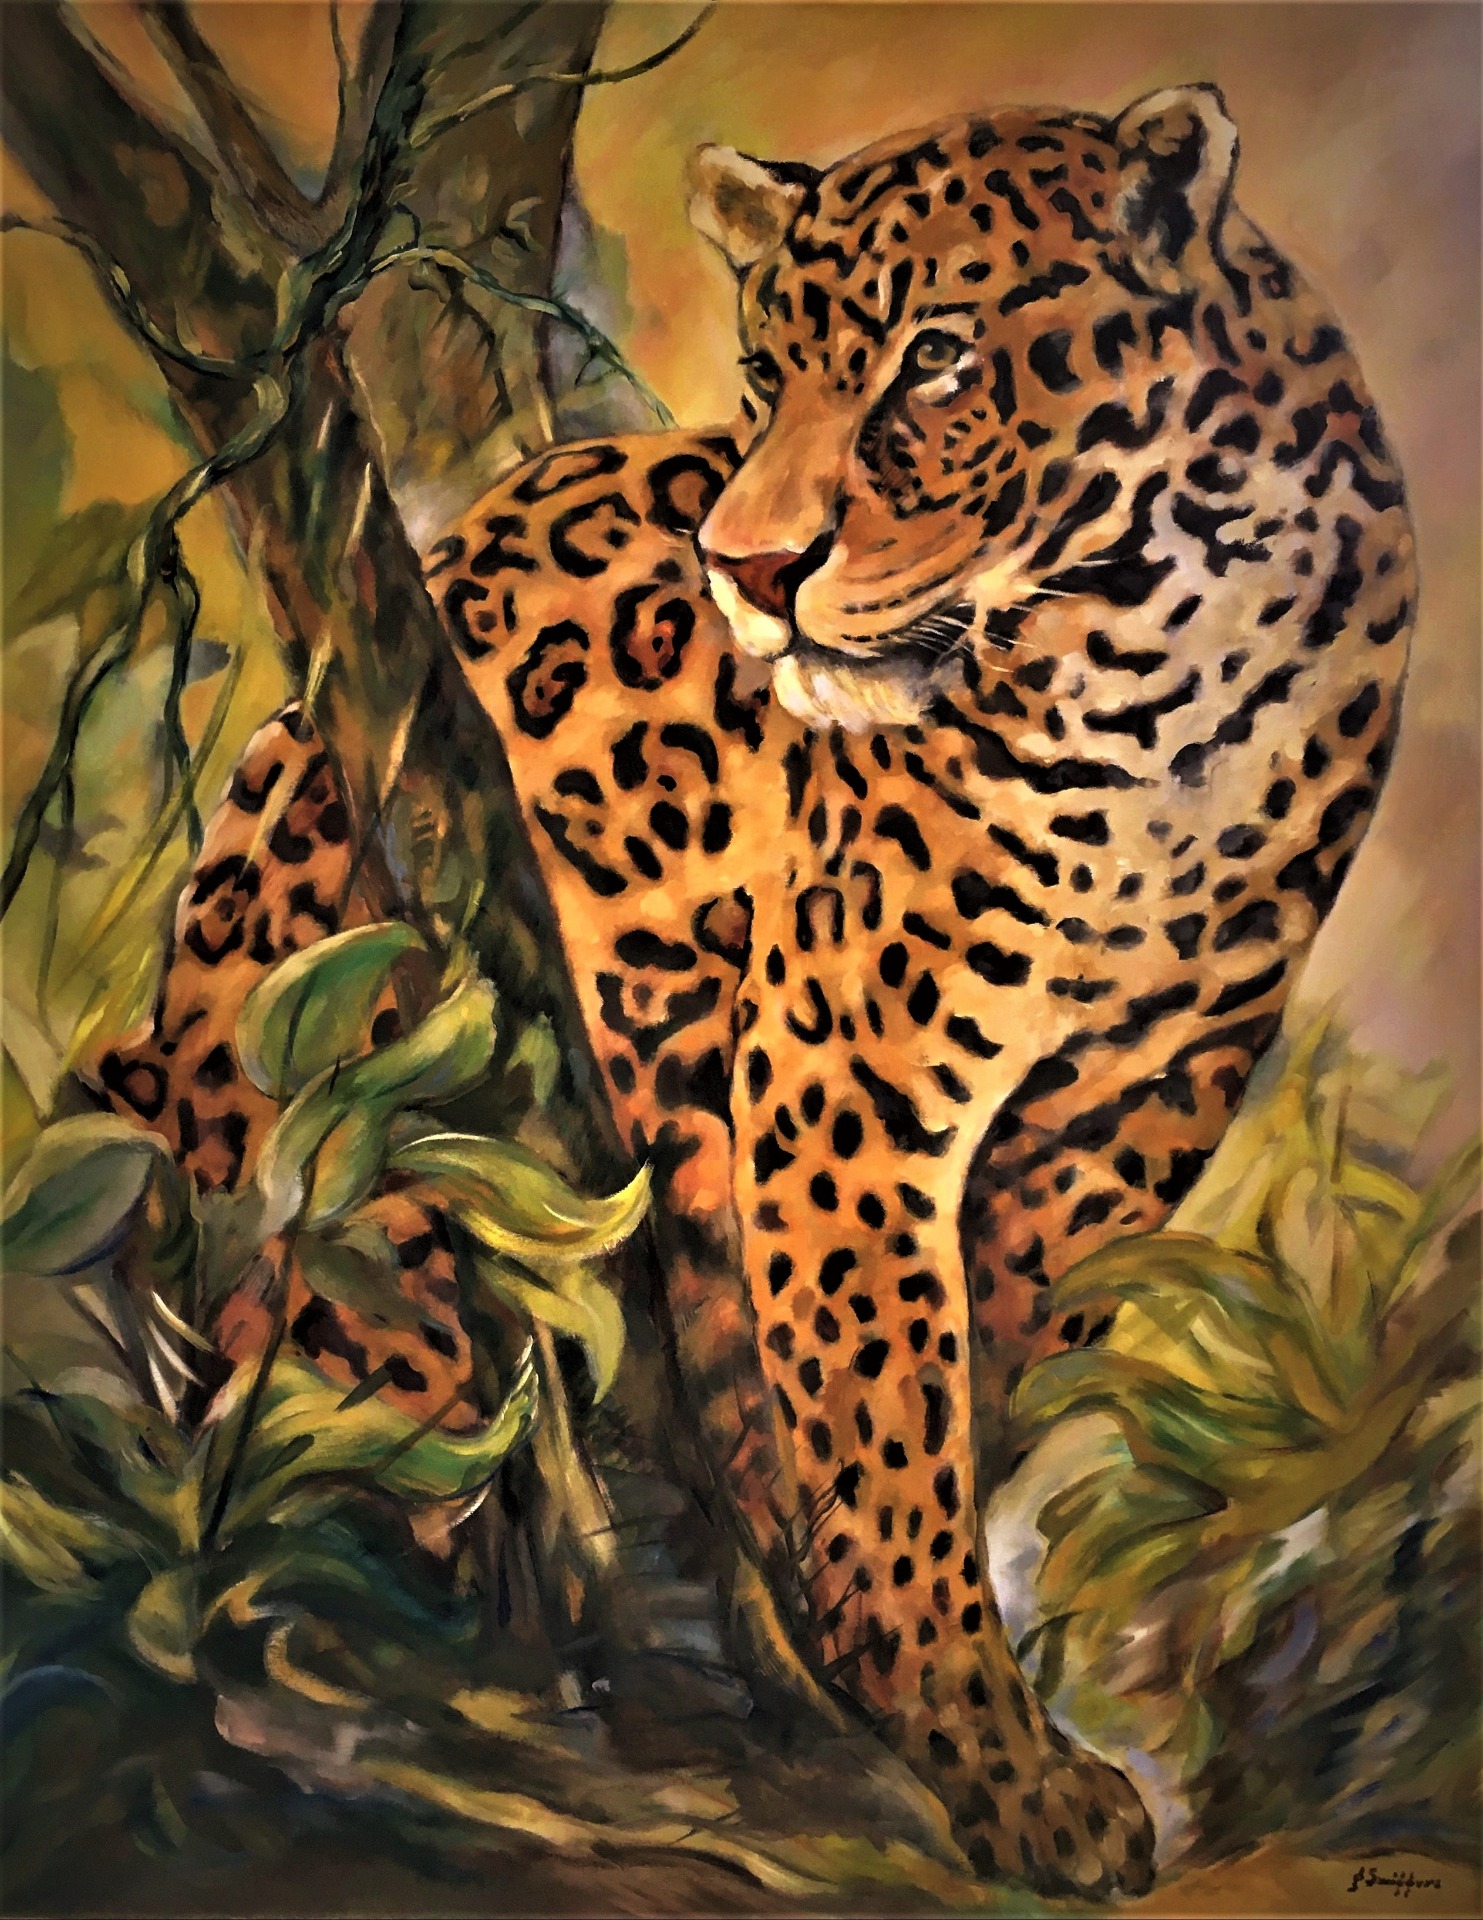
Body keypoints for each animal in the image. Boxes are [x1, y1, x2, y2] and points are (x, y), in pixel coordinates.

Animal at [92, 84, 1414, 1899]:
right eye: (768, 372)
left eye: (936, 361)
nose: (749, 568)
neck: (1163, 667)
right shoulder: (844, 1066)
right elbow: (884, 1414)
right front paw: (995, 1763)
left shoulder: (1149, 1078)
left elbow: (983, 1355)